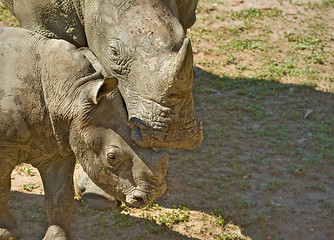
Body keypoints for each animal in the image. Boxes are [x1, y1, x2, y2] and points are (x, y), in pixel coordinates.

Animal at [0, 27, 168, 239]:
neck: (71, 94)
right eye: (112, 157)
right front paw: (7, 232)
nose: (152, 195)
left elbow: (61, 195)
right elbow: (2, 189)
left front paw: (58, 236)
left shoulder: (58, 141)